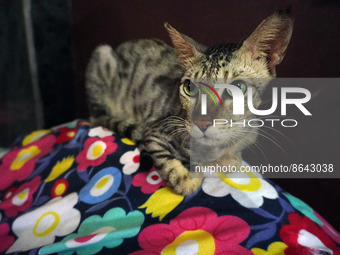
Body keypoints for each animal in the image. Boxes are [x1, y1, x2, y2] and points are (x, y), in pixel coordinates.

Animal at [84, 7, 292, 195]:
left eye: (238, 87)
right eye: (189, 88)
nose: (201, 122)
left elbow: (233, 160)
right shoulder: (154, 131)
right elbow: (174, 171)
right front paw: (189, 178)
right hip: (102, 56)